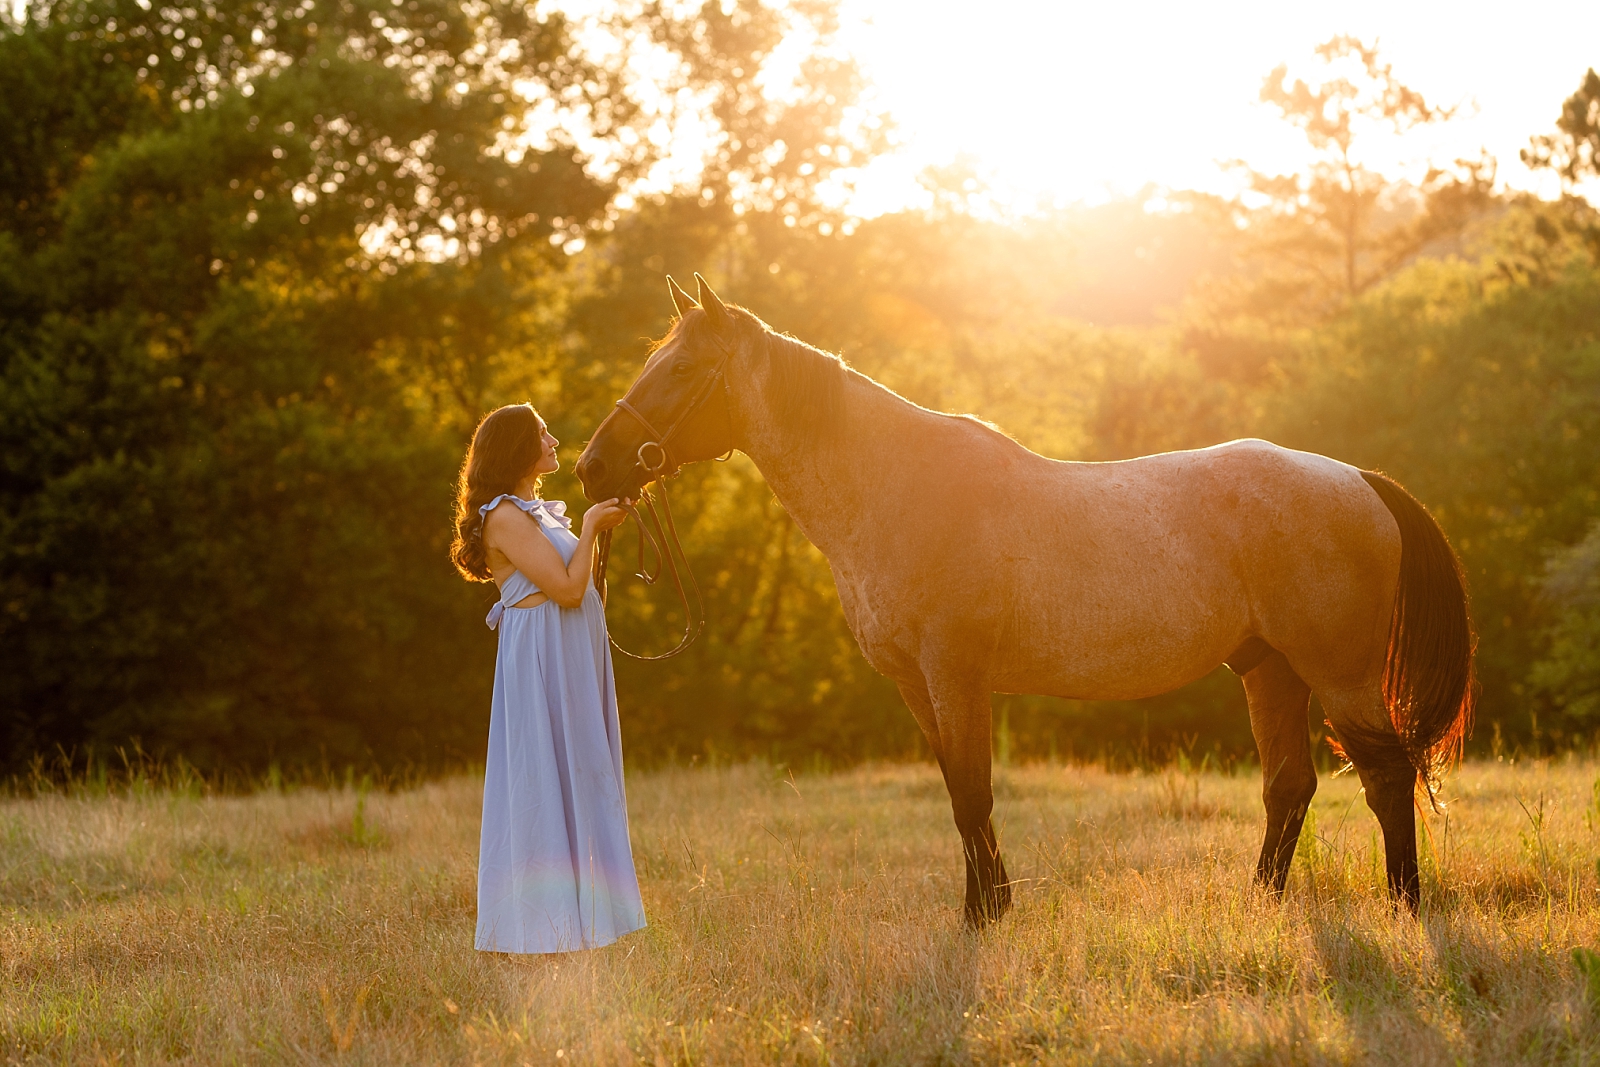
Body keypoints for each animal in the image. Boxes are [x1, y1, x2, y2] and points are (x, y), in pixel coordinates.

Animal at [576, 275, 1472, 927]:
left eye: (680, 370)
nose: (593, 467)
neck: (899, 488)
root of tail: (1358, 478)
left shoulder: (957, 673)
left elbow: (975, 789)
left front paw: (984, 916)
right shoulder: (917, 684)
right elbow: (955, 790)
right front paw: (989, 901)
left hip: (1339, 675)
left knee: (1386, 775)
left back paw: (1405, 903)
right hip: (1270, 669)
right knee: (1290, 786)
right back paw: (1261, 902)